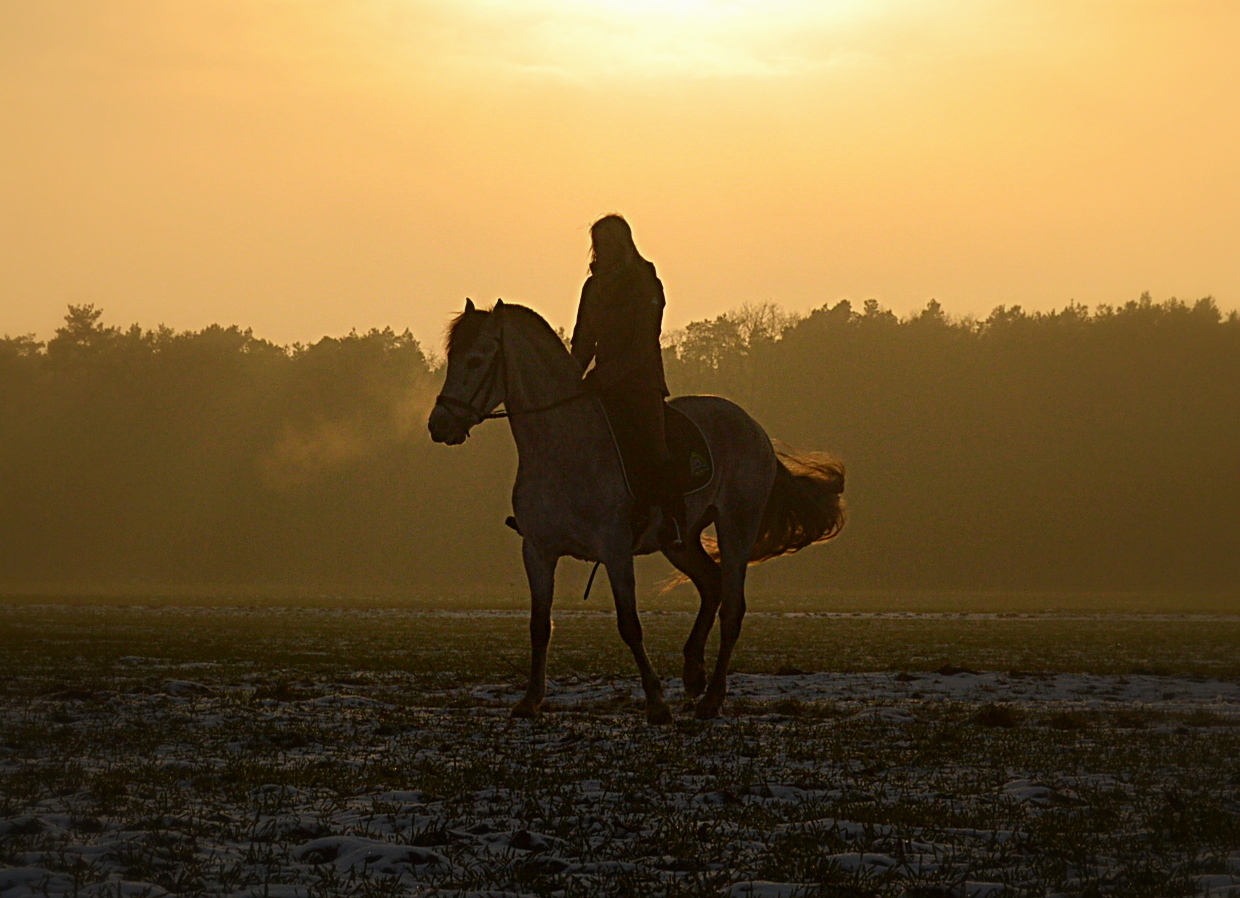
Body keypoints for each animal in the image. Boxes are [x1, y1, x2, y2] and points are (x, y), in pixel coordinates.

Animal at [426, 301, 843, 724]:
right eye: (452, 357)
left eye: (477, 360)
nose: (439, 425)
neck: (562, 447)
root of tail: (753, 427)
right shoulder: (538, 551)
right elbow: (539, 625)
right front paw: (530, 701)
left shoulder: (614, 550)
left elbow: (629, 625)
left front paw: (656, 703)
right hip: (680, 540)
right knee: (711, 584)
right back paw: (693, 674)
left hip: (736, 528)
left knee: (732, 608)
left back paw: (711, 699)